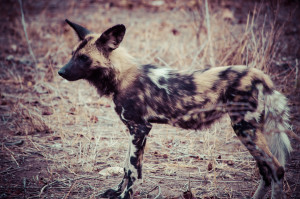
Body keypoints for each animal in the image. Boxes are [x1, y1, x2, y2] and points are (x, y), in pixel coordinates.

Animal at [58, 19, 298, 199]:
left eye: (84, 58)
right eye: (72, 55)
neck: (121, 76)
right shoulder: (133, 131)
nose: (60, 72)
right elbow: (126, 167)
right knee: (266, 172)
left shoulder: (140, 129)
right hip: (250, 132)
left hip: (244, 129)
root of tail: (259, 75)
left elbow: (134, 171)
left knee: (276, 169)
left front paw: (125, 196)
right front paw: (116, 192)